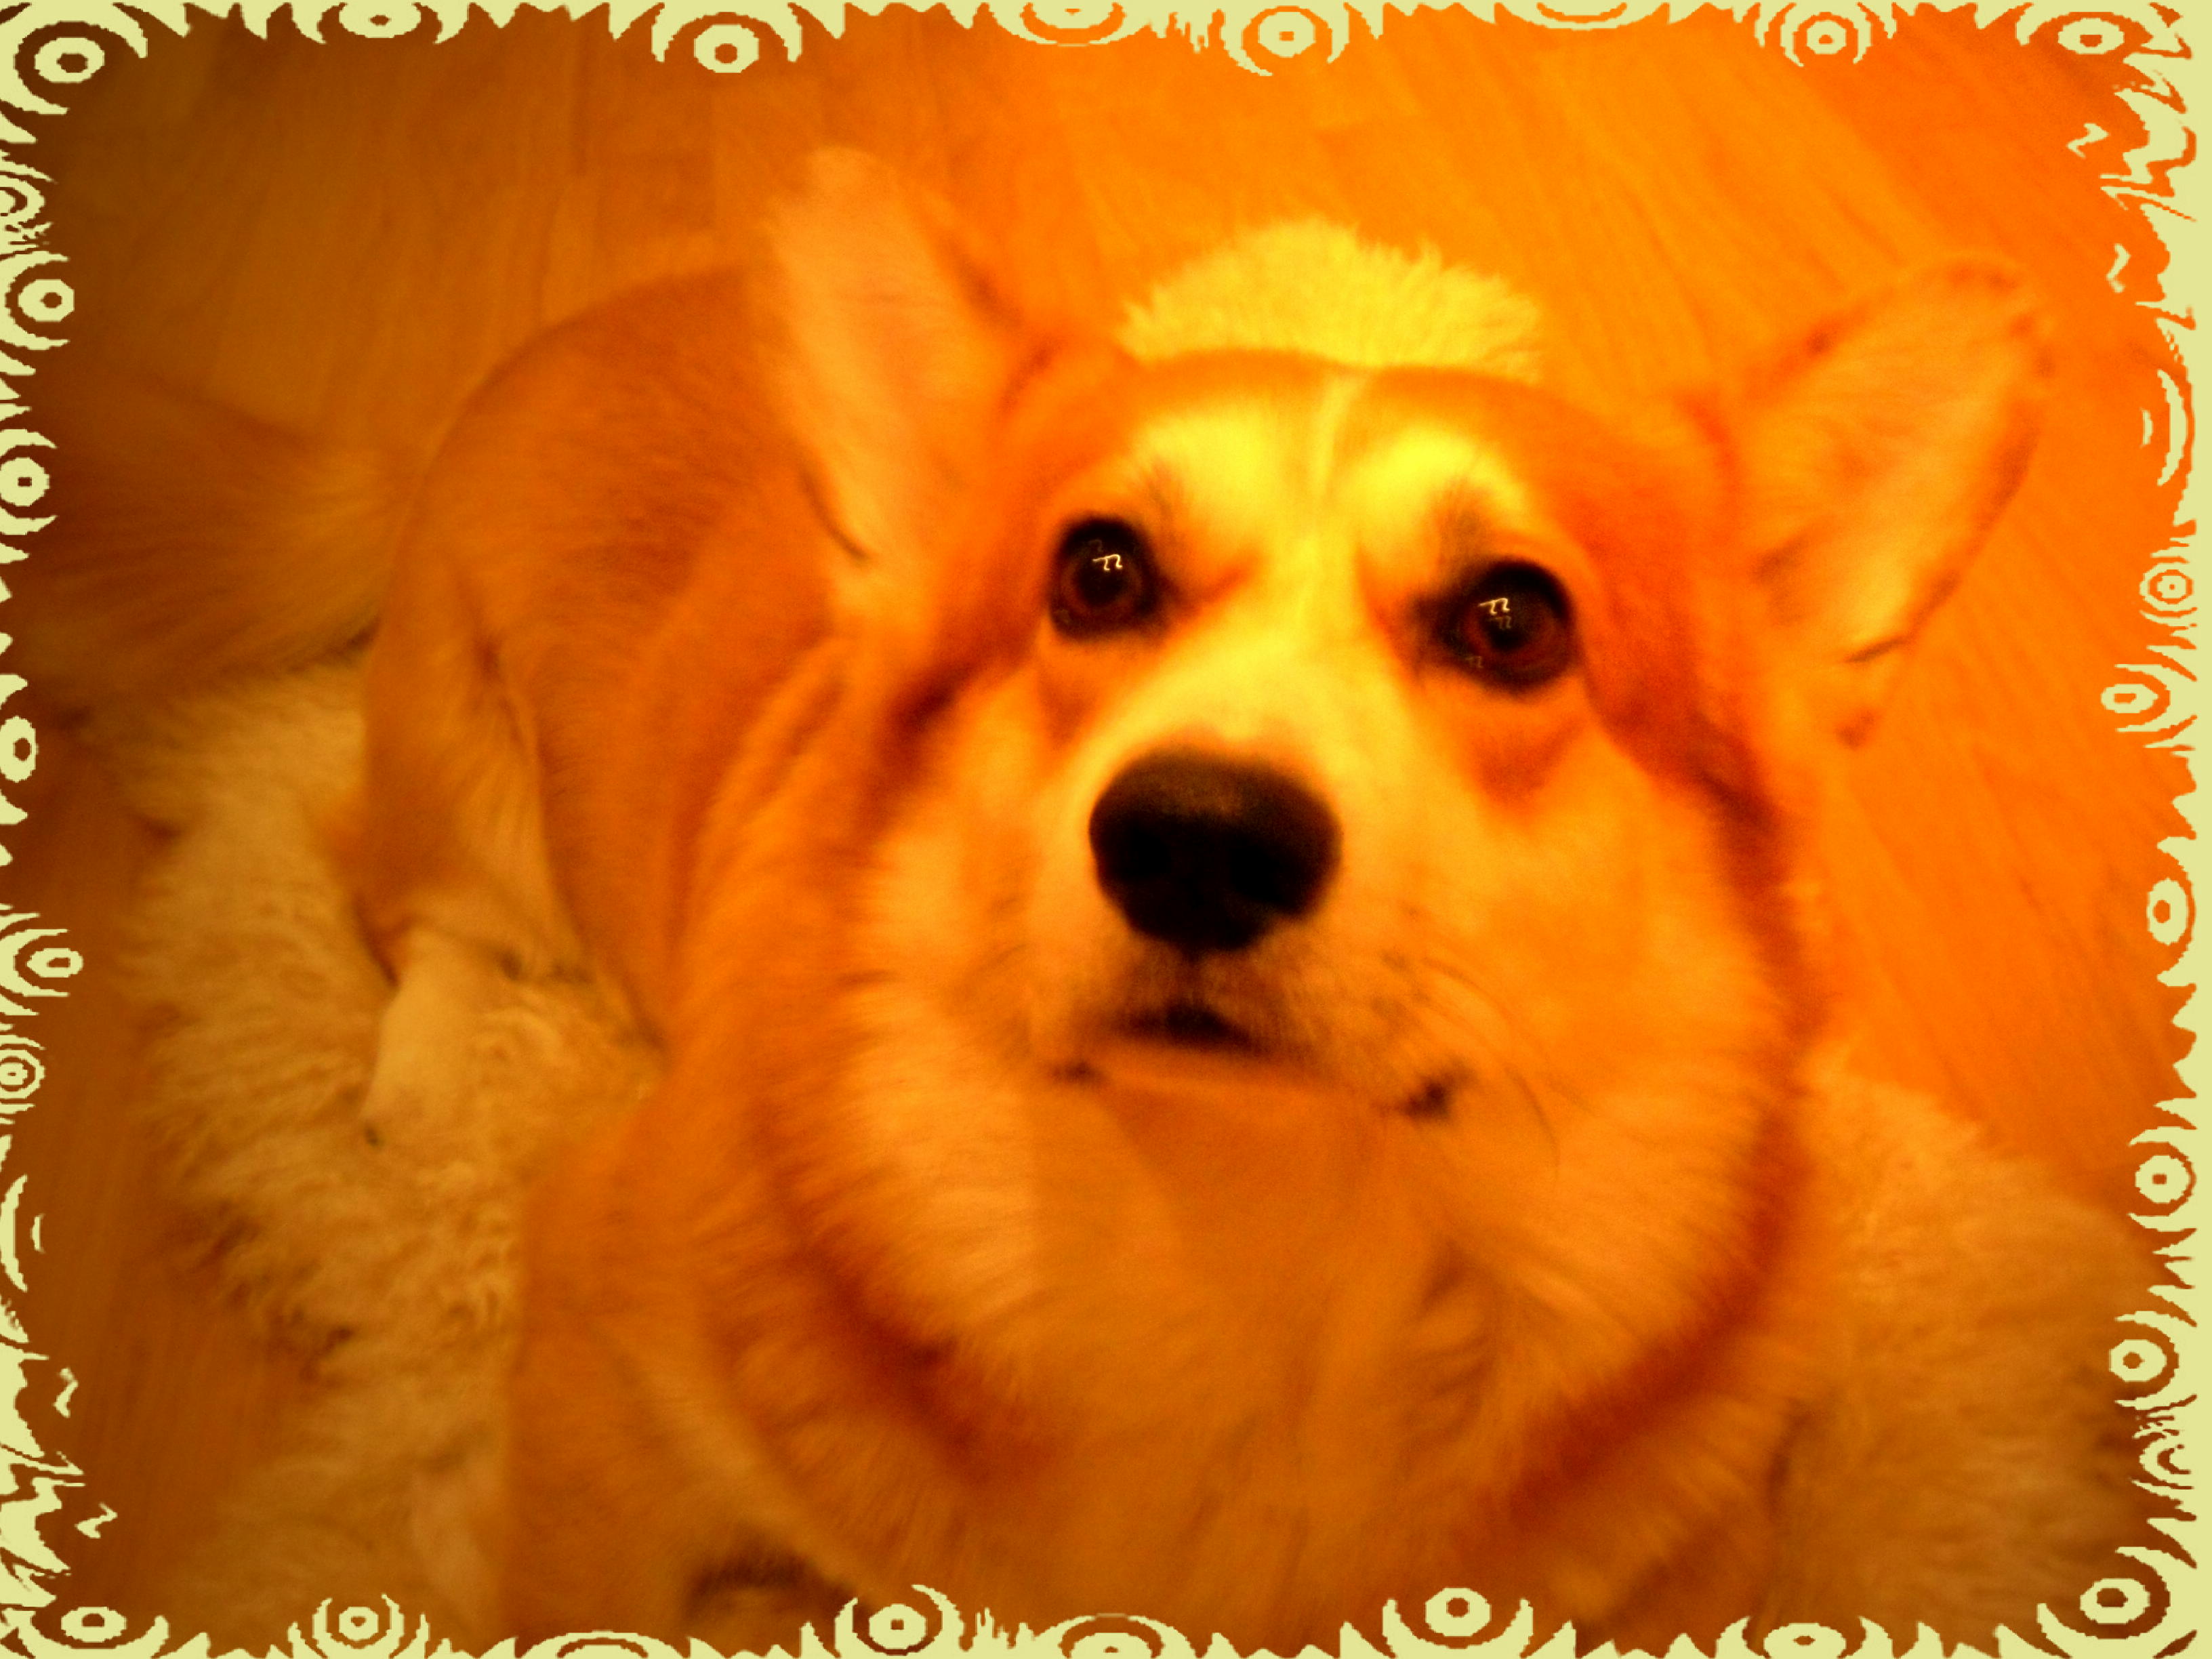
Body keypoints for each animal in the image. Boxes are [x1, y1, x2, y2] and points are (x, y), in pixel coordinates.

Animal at [28, 152, 2151, 1653]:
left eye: (1512, 619)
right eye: (1098, 572)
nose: (1195, 836)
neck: (1248, 1250)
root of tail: (522, 360)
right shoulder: (614, 1366)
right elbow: (572, 1578)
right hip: (468, 773)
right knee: (409, 900)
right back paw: (419, 1080)